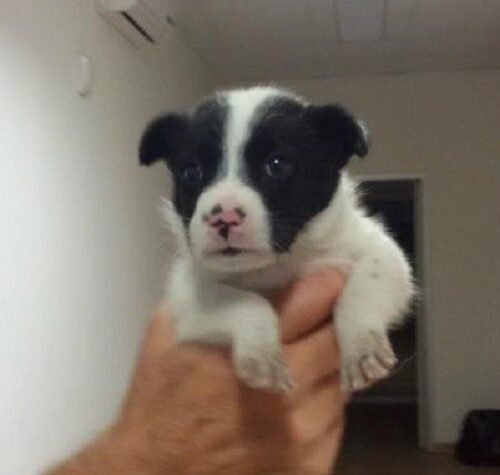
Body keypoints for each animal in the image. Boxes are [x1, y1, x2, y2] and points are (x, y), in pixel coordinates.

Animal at [139, 86, 413, 392]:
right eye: (191, 171)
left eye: (278, 165)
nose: (224, 219)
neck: (273, 265)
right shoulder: (189, 295)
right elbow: (245, 301)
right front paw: (262, 355)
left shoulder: (382, 252)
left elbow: (366, 286)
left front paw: (362, 346)